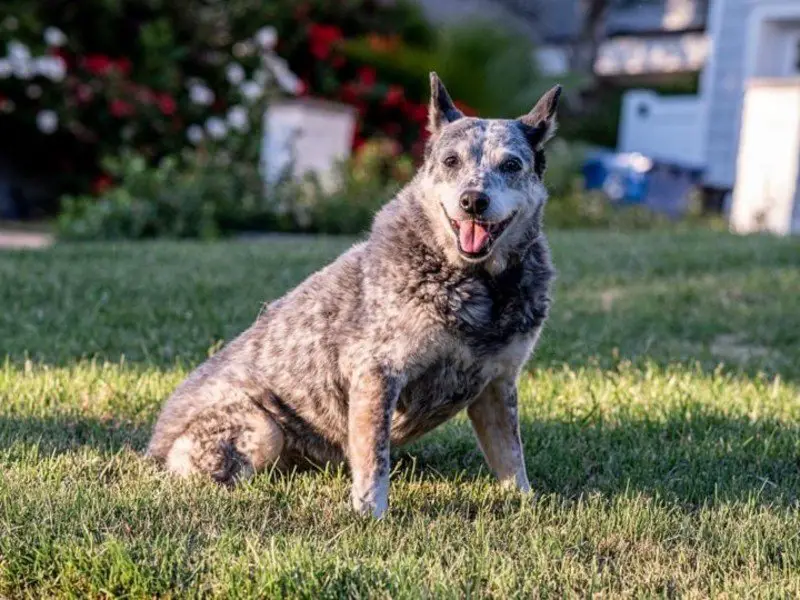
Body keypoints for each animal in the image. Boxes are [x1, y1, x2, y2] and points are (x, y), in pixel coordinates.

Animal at [152, 74, 564, 516]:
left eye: (511, 165)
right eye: (451, 161)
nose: (473, 200)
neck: (479, 284)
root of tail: (153, 445)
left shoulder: (497, 385)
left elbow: (511, 457)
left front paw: (526, 502)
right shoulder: (376, 373)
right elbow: (374, 459)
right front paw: (371, 513)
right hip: (262, 427)